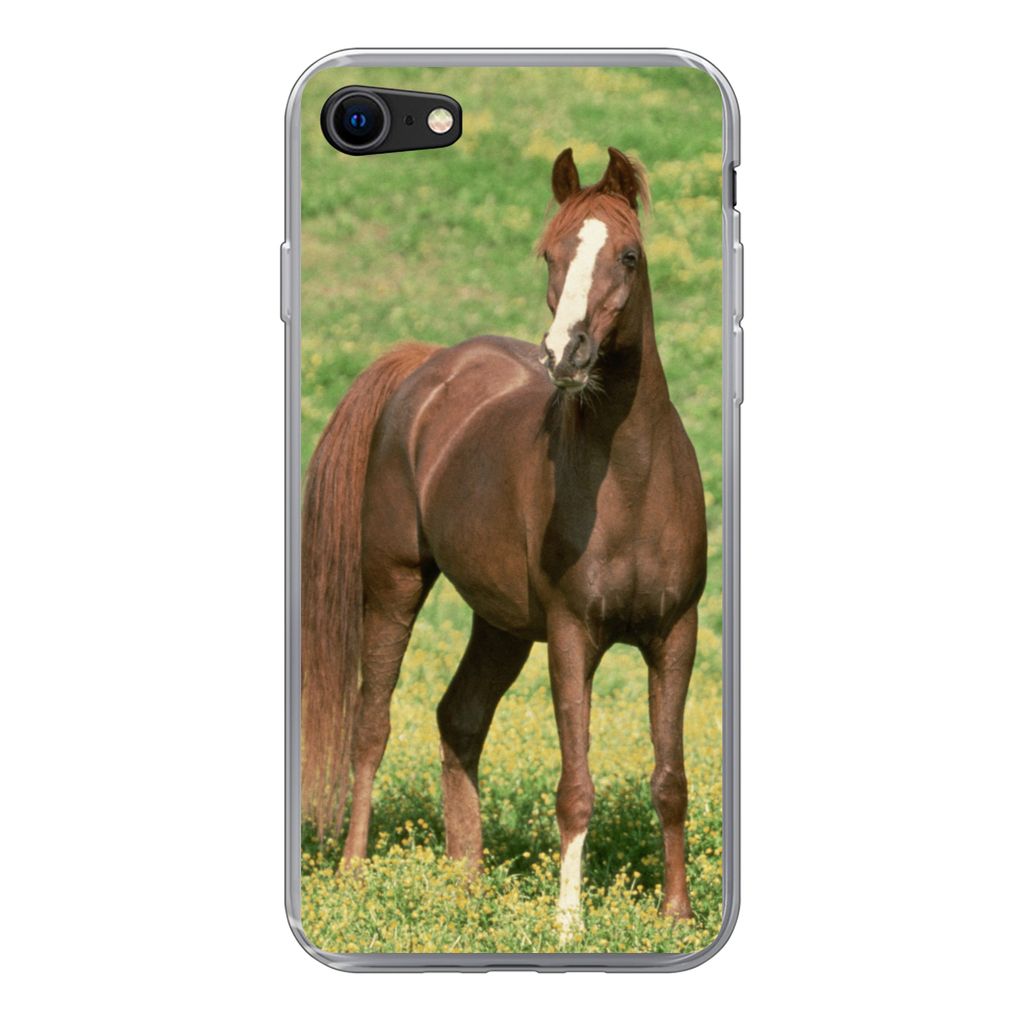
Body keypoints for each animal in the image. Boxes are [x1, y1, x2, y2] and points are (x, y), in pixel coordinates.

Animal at [301, 147, 708, 932]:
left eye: (630, 256)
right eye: (549, 253)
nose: (566, 355)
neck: (632, 484)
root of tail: (429, 364)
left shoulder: (676, 632)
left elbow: (669, 777)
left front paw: (676, 915)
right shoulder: (573, 635)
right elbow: (575, 784)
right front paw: (568, 922)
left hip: (503, 623)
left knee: (459, 719)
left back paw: (466, 883)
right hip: (393, 584)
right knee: (373, 725)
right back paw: (355, 872)